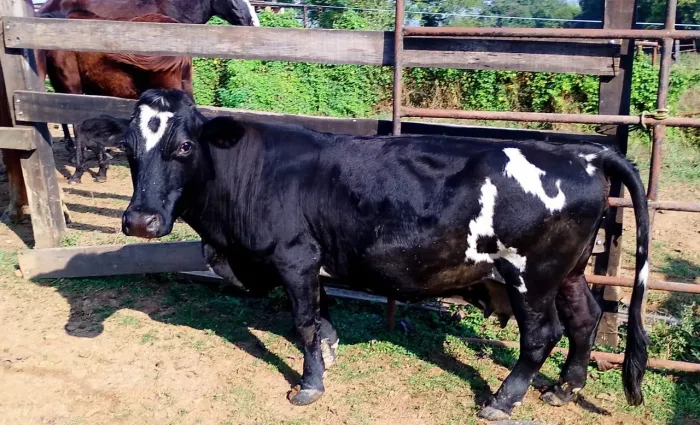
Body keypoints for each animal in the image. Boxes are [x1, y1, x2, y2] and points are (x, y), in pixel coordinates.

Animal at [94, 89, 650, 420]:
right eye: (127, 148)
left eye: (185, 146)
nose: (140, 221)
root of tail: (581, 152)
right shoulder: (313, 263)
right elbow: (321, 317)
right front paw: (328, 353)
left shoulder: (295, 257)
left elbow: (302, 322)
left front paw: (309, 384)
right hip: (569, 271)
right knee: (584, 319)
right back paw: (564, 388)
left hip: (531, 276)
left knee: (541, 335)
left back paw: (502, 400)